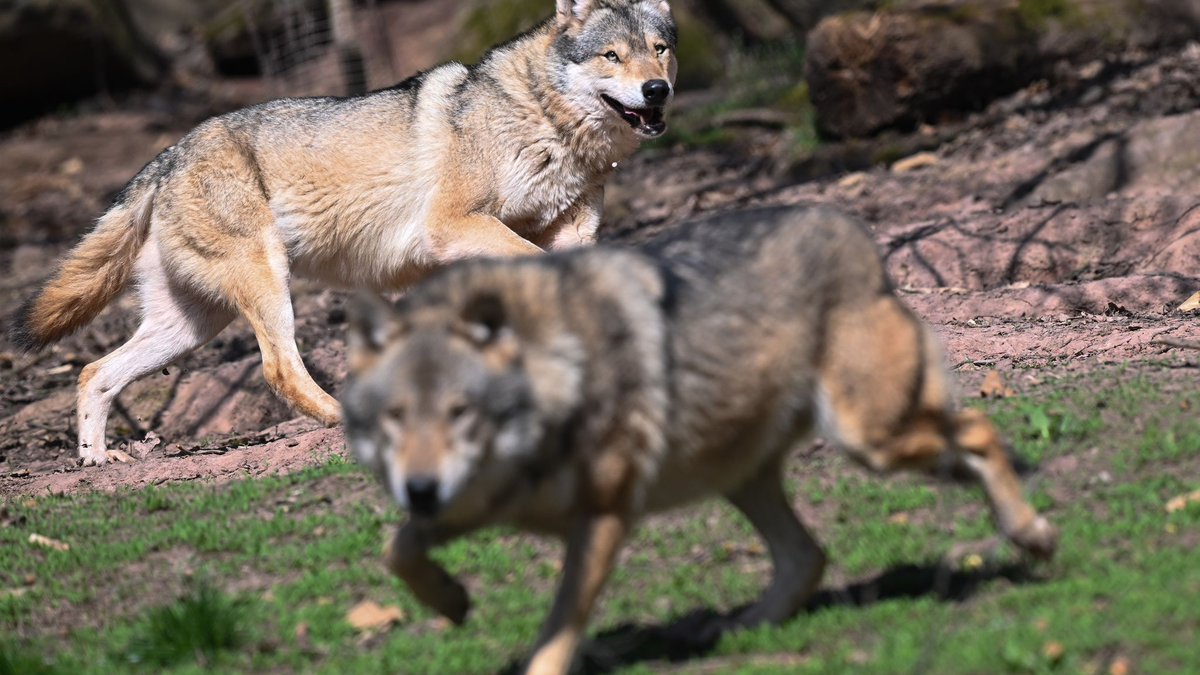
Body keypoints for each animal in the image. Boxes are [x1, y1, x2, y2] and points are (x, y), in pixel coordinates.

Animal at [5, 0, 677, 465]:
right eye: (612, 56)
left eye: (659, 48)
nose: (658, 89)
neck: (546, 123)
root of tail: (166, 156)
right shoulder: (452, 228)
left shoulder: (566, 233)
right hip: (266, 290)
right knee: (277, 368)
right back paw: (344, 421)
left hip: (188, 328)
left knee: (93, 373)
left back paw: (97, 463)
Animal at [341, 204, 1059, 675]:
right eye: (396, 417)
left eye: (460, 412)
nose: (421, 487)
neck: (556, 373)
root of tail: (847, 224)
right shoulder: (477, 502)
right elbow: (396, 549)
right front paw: (452, 600)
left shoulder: (602, 516)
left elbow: (554, 636)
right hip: (743, 473)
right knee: (809, 555)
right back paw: (742, 630)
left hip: (869, 439)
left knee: (977, 431)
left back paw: (1031, 534)